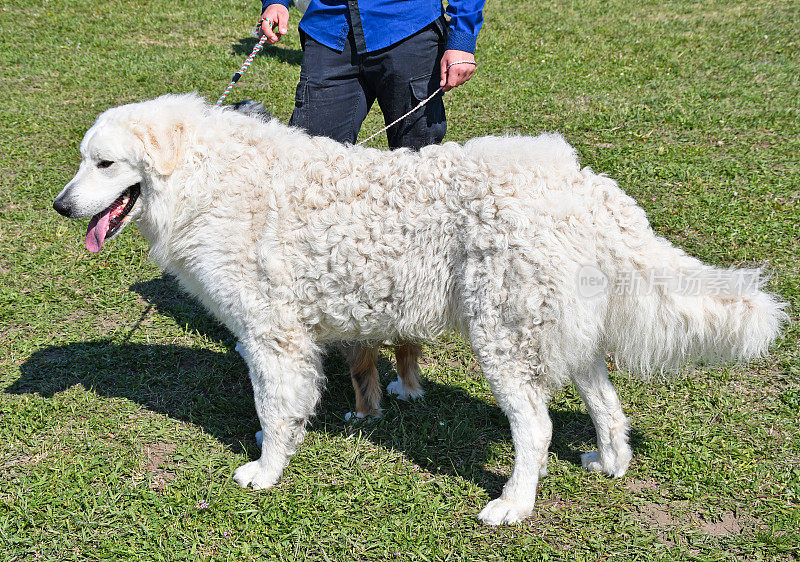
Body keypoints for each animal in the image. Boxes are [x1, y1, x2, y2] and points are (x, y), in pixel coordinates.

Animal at [51, 95, 788, 520]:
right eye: (83, 161)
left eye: (105, 164)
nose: (60, 206)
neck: (207, 175)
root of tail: (583, 182)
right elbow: (289, 403)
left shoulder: (272, 334)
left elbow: (275, 404)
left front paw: (266, 470)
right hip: (553, 329)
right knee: (606, 404)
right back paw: (609, 464)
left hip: (502, 336)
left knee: (536, 430)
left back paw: (513, 507)